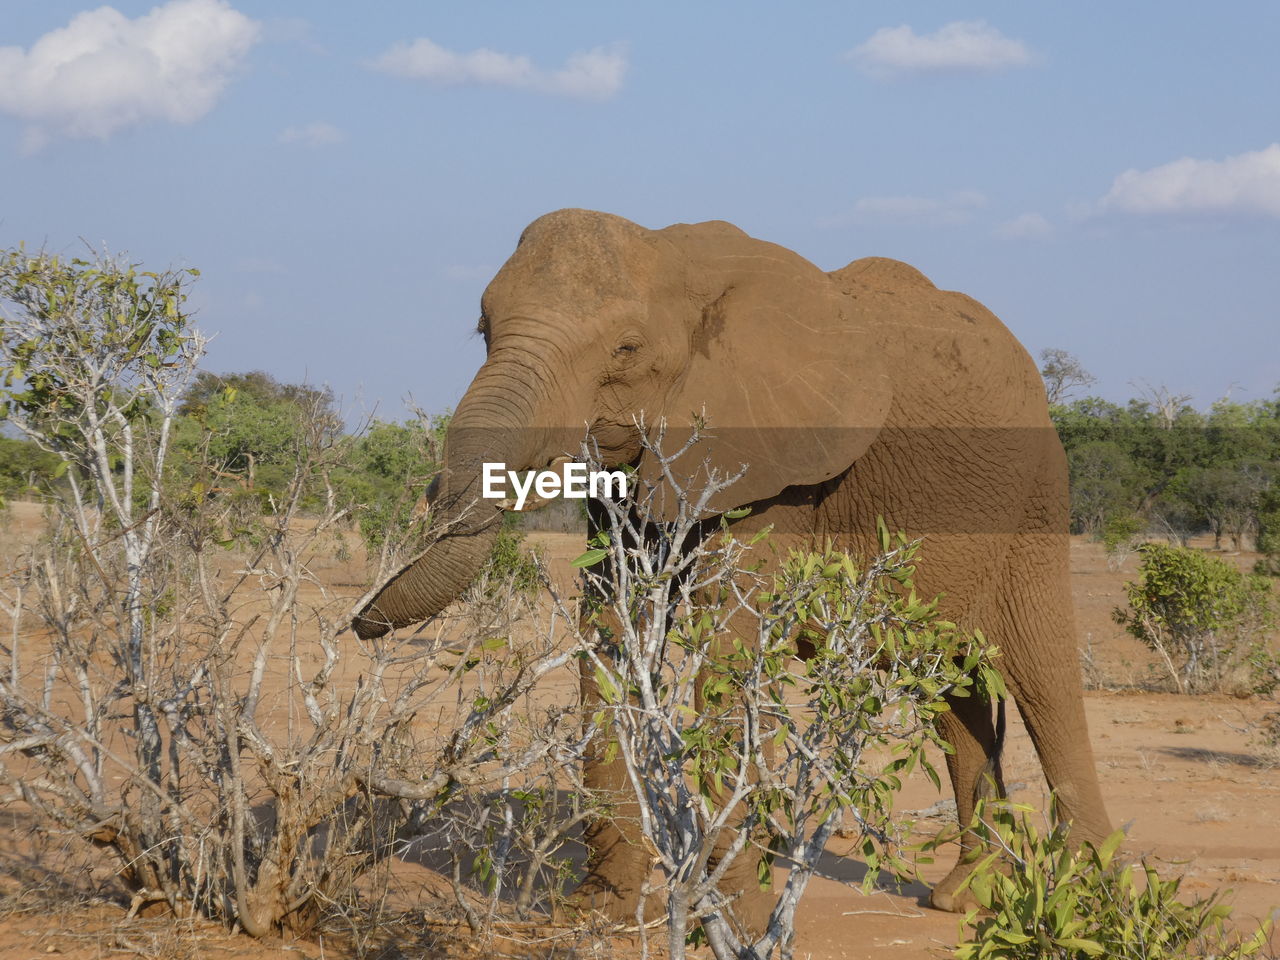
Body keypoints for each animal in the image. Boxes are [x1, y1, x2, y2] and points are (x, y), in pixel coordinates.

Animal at [355, 208, 1116, 926]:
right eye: (484, 329)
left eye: (626, 349)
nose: (357, 624)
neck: (680, 260)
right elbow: (611, 631)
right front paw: (596, 913)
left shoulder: (776, 467)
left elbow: (726, 646)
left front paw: (738, 922)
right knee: (952, 687)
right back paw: (965, 896)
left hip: (1038, 494)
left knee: (1042, 674)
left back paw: (1082, 901)